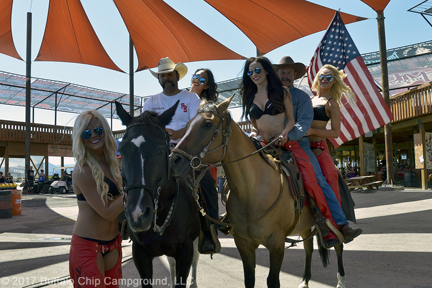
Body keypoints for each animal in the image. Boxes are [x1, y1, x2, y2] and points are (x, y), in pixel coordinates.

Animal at [170, 97, 346, 288]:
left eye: (207, 124)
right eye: (188, 125)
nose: (174, 160)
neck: (252, 192)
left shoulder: (276, 244)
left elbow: (272, 280)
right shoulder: (244, 244)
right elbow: (249, 279)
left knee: (338, 245)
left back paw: (340, 281)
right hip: (305, 225)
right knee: (308, 248)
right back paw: (305, 280)